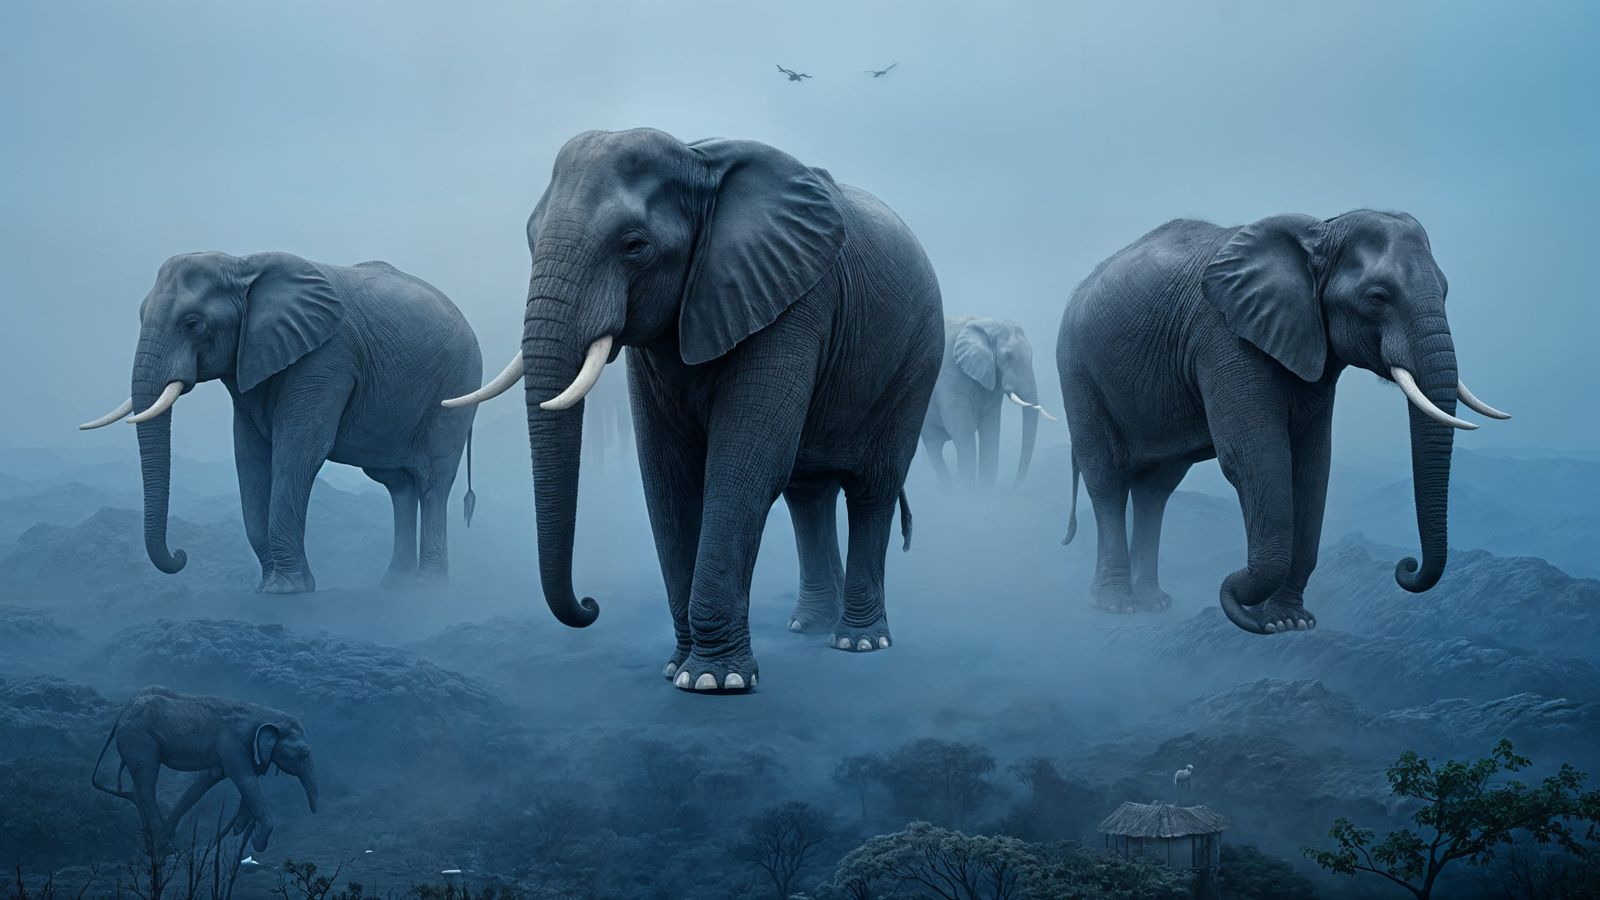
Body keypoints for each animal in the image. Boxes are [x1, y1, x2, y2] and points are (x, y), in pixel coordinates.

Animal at [80, 252, 482, 593]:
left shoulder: (326, 357)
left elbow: (300, 449)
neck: (244, 266)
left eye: (192, 324)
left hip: (455, 389)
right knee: (399, 485)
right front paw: (267, 587)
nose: (180, 555)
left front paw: (285, 591)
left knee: (432, 481)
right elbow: (250, 456)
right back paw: (394, 586)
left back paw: (427, 589)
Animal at [91, 686, 318, 852]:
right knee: (147, 780)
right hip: (139, 739)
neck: (263, 712)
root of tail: (120, 715)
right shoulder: (233, 744)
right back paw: (166, 847)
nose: (315, 812)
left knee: (139, 784)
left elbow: (206, 780)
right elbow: (245, 780)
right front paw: (257, 841)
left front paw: (239, 827)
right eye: (305, 752)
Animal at [445, 128, 944, 692]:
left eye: (634, 246)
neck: (697, 159)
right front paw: (676, 668)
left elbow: (743, 465)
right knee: (808, 496)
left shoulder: (793, 305)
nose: (591, 605)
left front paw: (712, 681)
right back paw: (808, 626)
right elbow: (667, 474)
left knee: (872, 489)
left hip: (917, 362)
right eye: (530, 238)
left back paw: (857, 642)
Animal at [920, 315, 1055, 491]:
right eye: (1008, 356)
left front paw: (984, 491)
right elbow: (963, 432)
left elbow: (990, 430)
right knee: (934, 447)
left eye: (1032, 354)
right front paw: (967, 491)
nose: (1011, 489)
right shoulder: (949, 375)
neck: (989, 325)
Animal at [1056, 211, 1509, 632]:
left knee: (1156, 489)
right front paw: (1271, 622)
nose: (1407, 566)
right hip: (1076, 369)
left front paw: (1290, 623)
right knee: (1107, 479)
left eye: (1446, 291)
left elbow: (1311, 469)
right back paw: (1118, 606)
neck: (1319, 234)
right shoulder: (1224, 337)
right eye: (1378, 296)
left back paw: (1154, 603)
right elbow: (1255, 459)